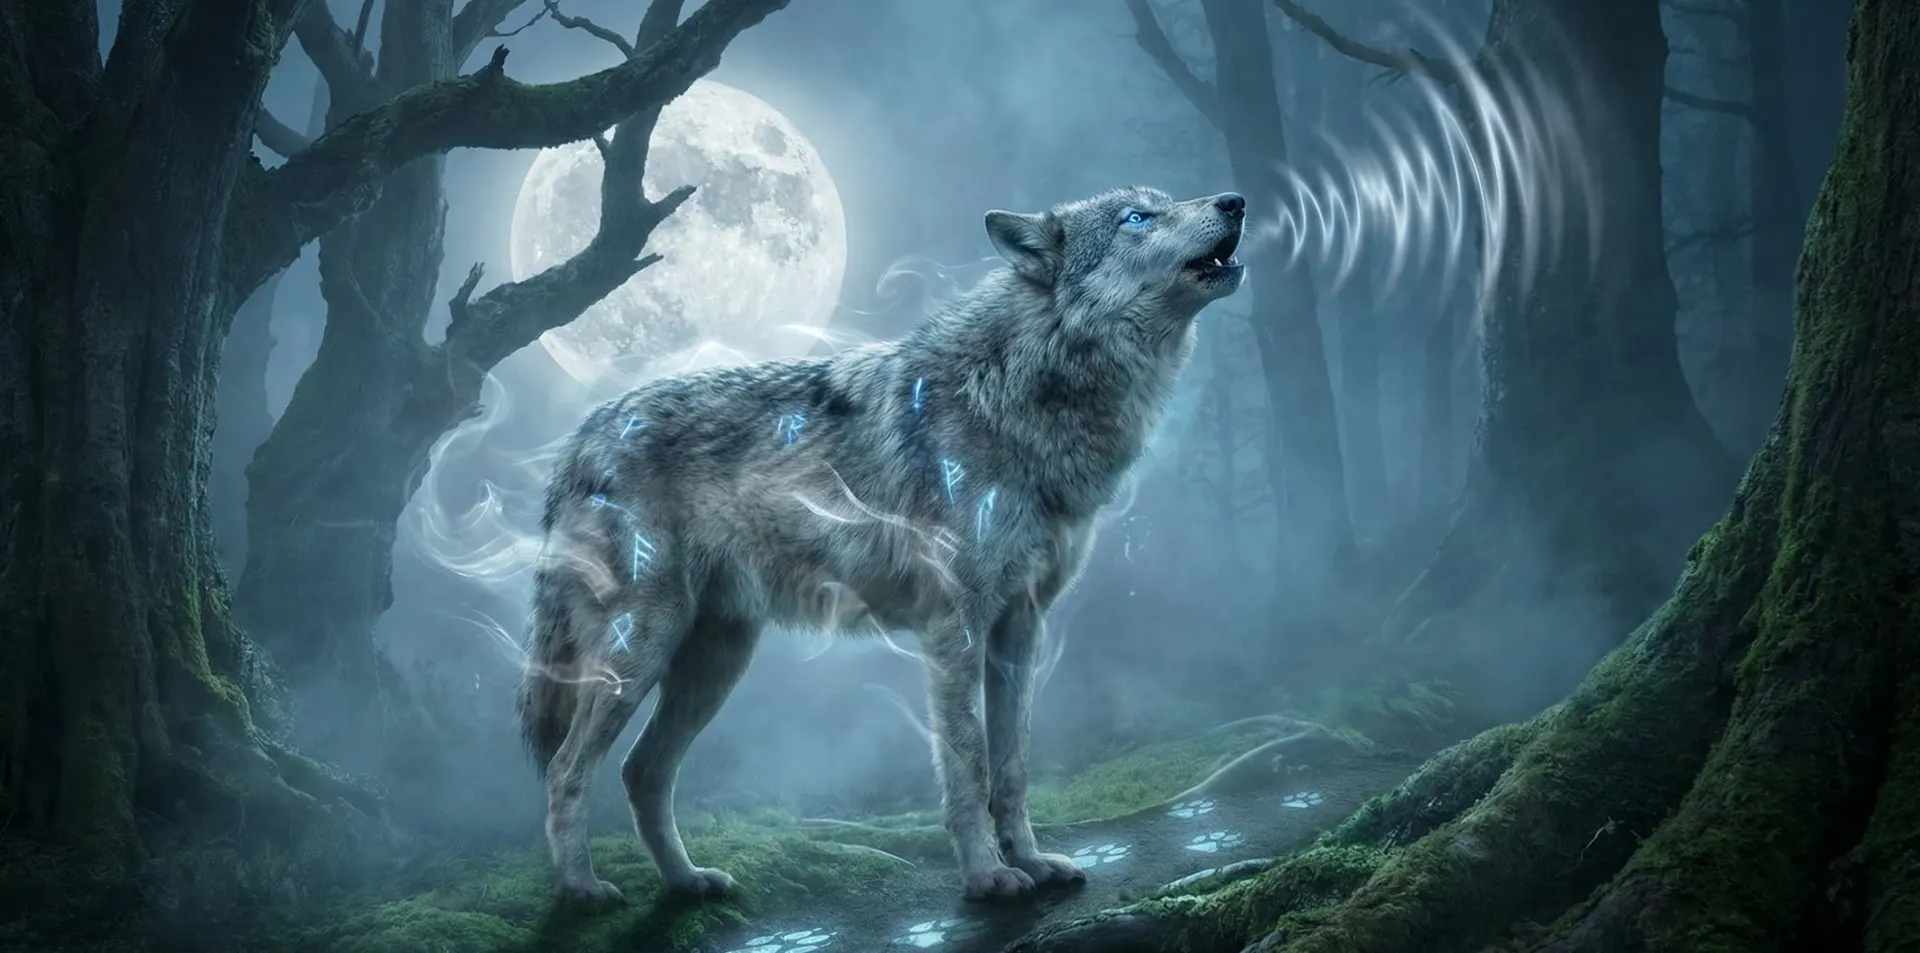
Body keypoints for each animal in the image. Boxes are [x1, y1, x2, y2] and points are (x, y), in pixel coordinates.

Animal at [517, 185, 1247, 903]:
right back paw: (582, 891)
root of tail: (579, 439)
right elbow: (968, 759)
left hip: (716, 660)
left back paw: (688, 882)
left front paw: (1034, 862)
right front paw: (987, 877)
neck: (1025, 389)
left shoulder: (1021, 625)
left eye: (1164, 199)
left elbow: (1012, 764)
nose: (1236, 201)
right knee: (568, 768)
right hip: (639, 652)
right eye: (1137, 217)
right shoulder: (954, 626)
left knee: (642, 770)